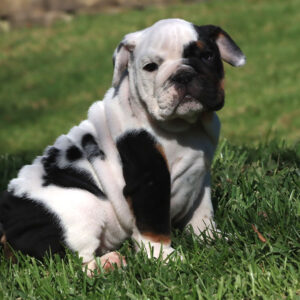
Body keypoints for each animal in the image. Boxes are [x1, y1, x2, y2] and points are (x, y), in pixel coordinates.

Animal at [0, 17, 245, 274]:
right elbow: (153, 224)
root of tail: (6, 220)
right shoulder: (150, 180)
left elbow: (202, 212)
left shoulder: (200, 176)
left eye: (208, 56)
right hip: (82, 207)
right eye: (150, 67)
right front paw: (164, 257)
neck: (185, 127)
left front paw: (210, 238)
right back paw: (109, 263)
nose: (183, 75)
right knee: (71, 263)